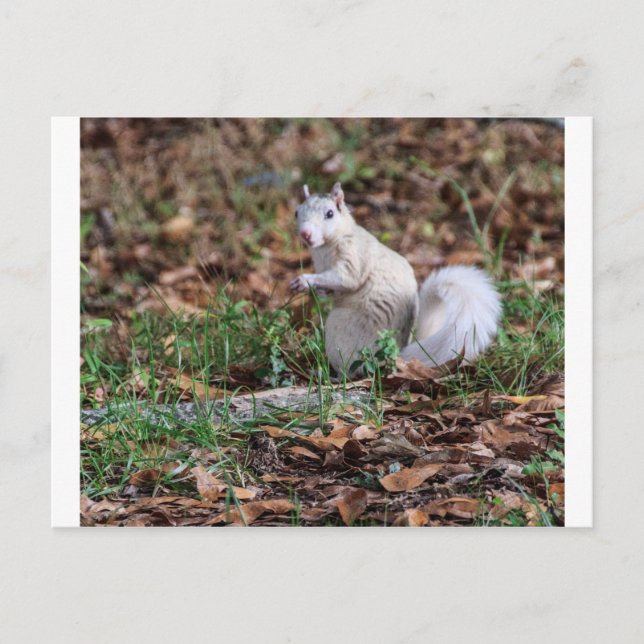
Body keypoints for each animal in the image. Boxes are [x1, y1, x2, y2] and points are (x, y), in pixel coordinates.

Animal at [290, 182, 501, 375]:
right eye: (296, 212)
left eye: (330, 213)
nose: (305, 234)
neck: (326, 246)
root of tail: (395, 355)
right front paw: (315, 288)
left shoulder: (354, 255)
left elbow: (347, 278)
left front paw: (305, 280)